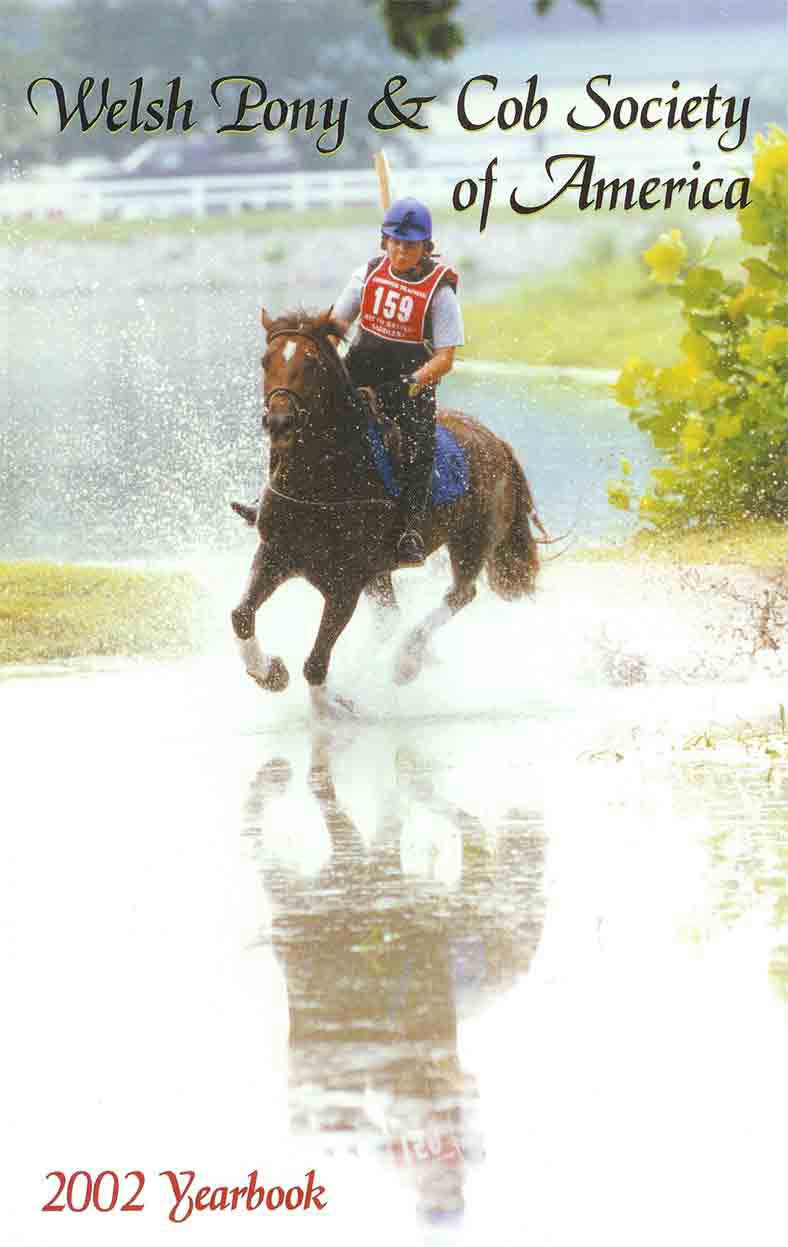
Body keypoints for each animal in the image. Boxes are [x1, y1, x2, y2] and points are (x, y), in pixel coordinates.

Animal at [231, 308, 542, 717]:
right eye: (265, 361)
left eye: (311, 363)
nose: (279, 422)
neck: (323, 478)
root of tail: (497, 442)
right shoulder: (275, 556)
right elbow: (241, 617)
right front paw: (271, 674)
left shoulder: (345, 584)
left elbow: (316, 662)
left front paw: (327, 711)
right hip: (383, 572)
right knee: (390, 619)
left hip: (471, 542)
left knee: (459, 595)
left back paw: (405, 662)